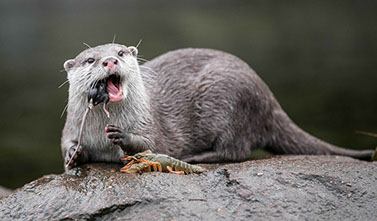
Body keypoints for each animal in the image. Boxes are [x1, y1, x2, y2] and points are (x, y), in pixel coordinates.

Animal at [61, 43, 370, 169]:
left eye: (121, 52)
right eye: (91, 59)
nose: (110, 60)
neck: (100, 138)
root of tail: (267, 96)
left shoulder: (150, 124)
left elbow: (152, 145)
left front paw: (123, 136)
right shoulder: (70, 128)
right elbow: (67, 144)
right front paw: (74, 156)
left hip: (230, 97)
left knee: (235, 150)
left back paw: (198, 156)